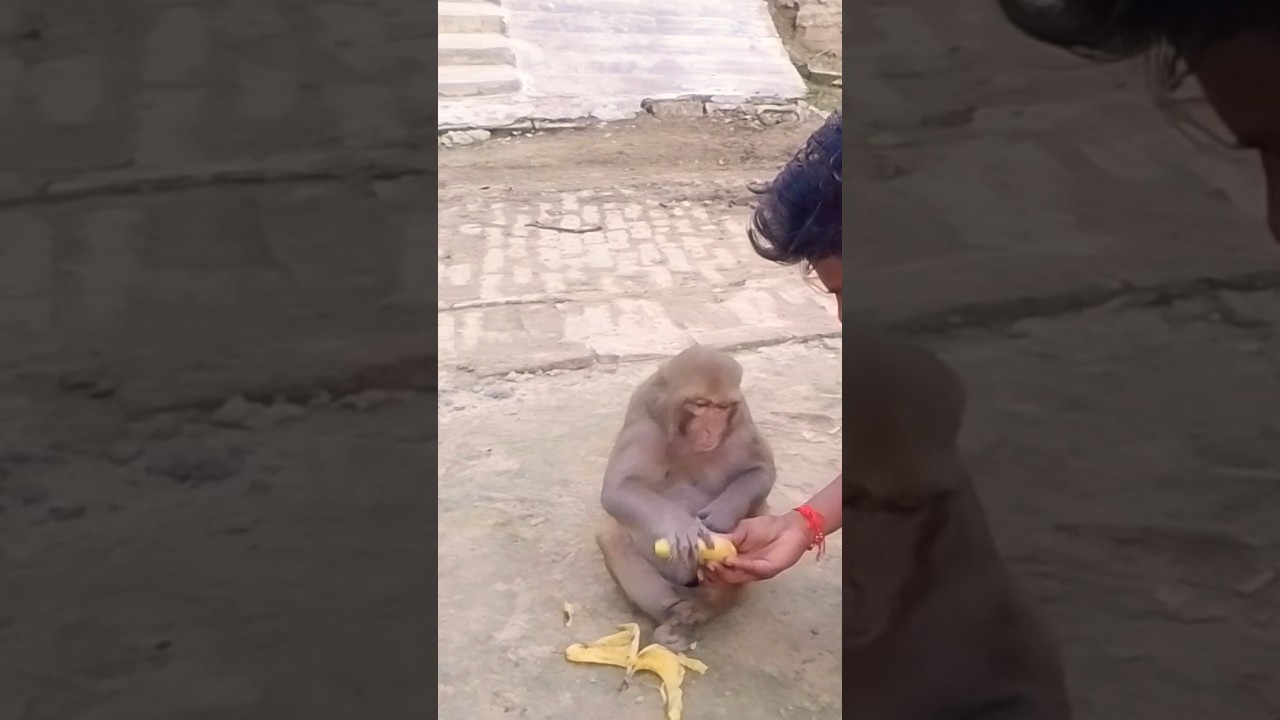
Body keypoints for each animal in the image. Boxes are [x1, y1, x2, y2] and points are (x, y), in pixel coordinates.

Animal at [596, 345, 776, 651]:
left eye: (722, 407)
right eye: (700, 403)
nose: (711, 429)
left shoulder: (741, 418)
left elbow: (761, 470)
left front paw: (722, 515)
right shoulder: (644, 418)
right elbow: (619, 488)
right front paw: (680, 525)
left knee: (759, 511)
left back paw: (705, 607)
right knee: (612, 533)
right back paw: (673, 615)